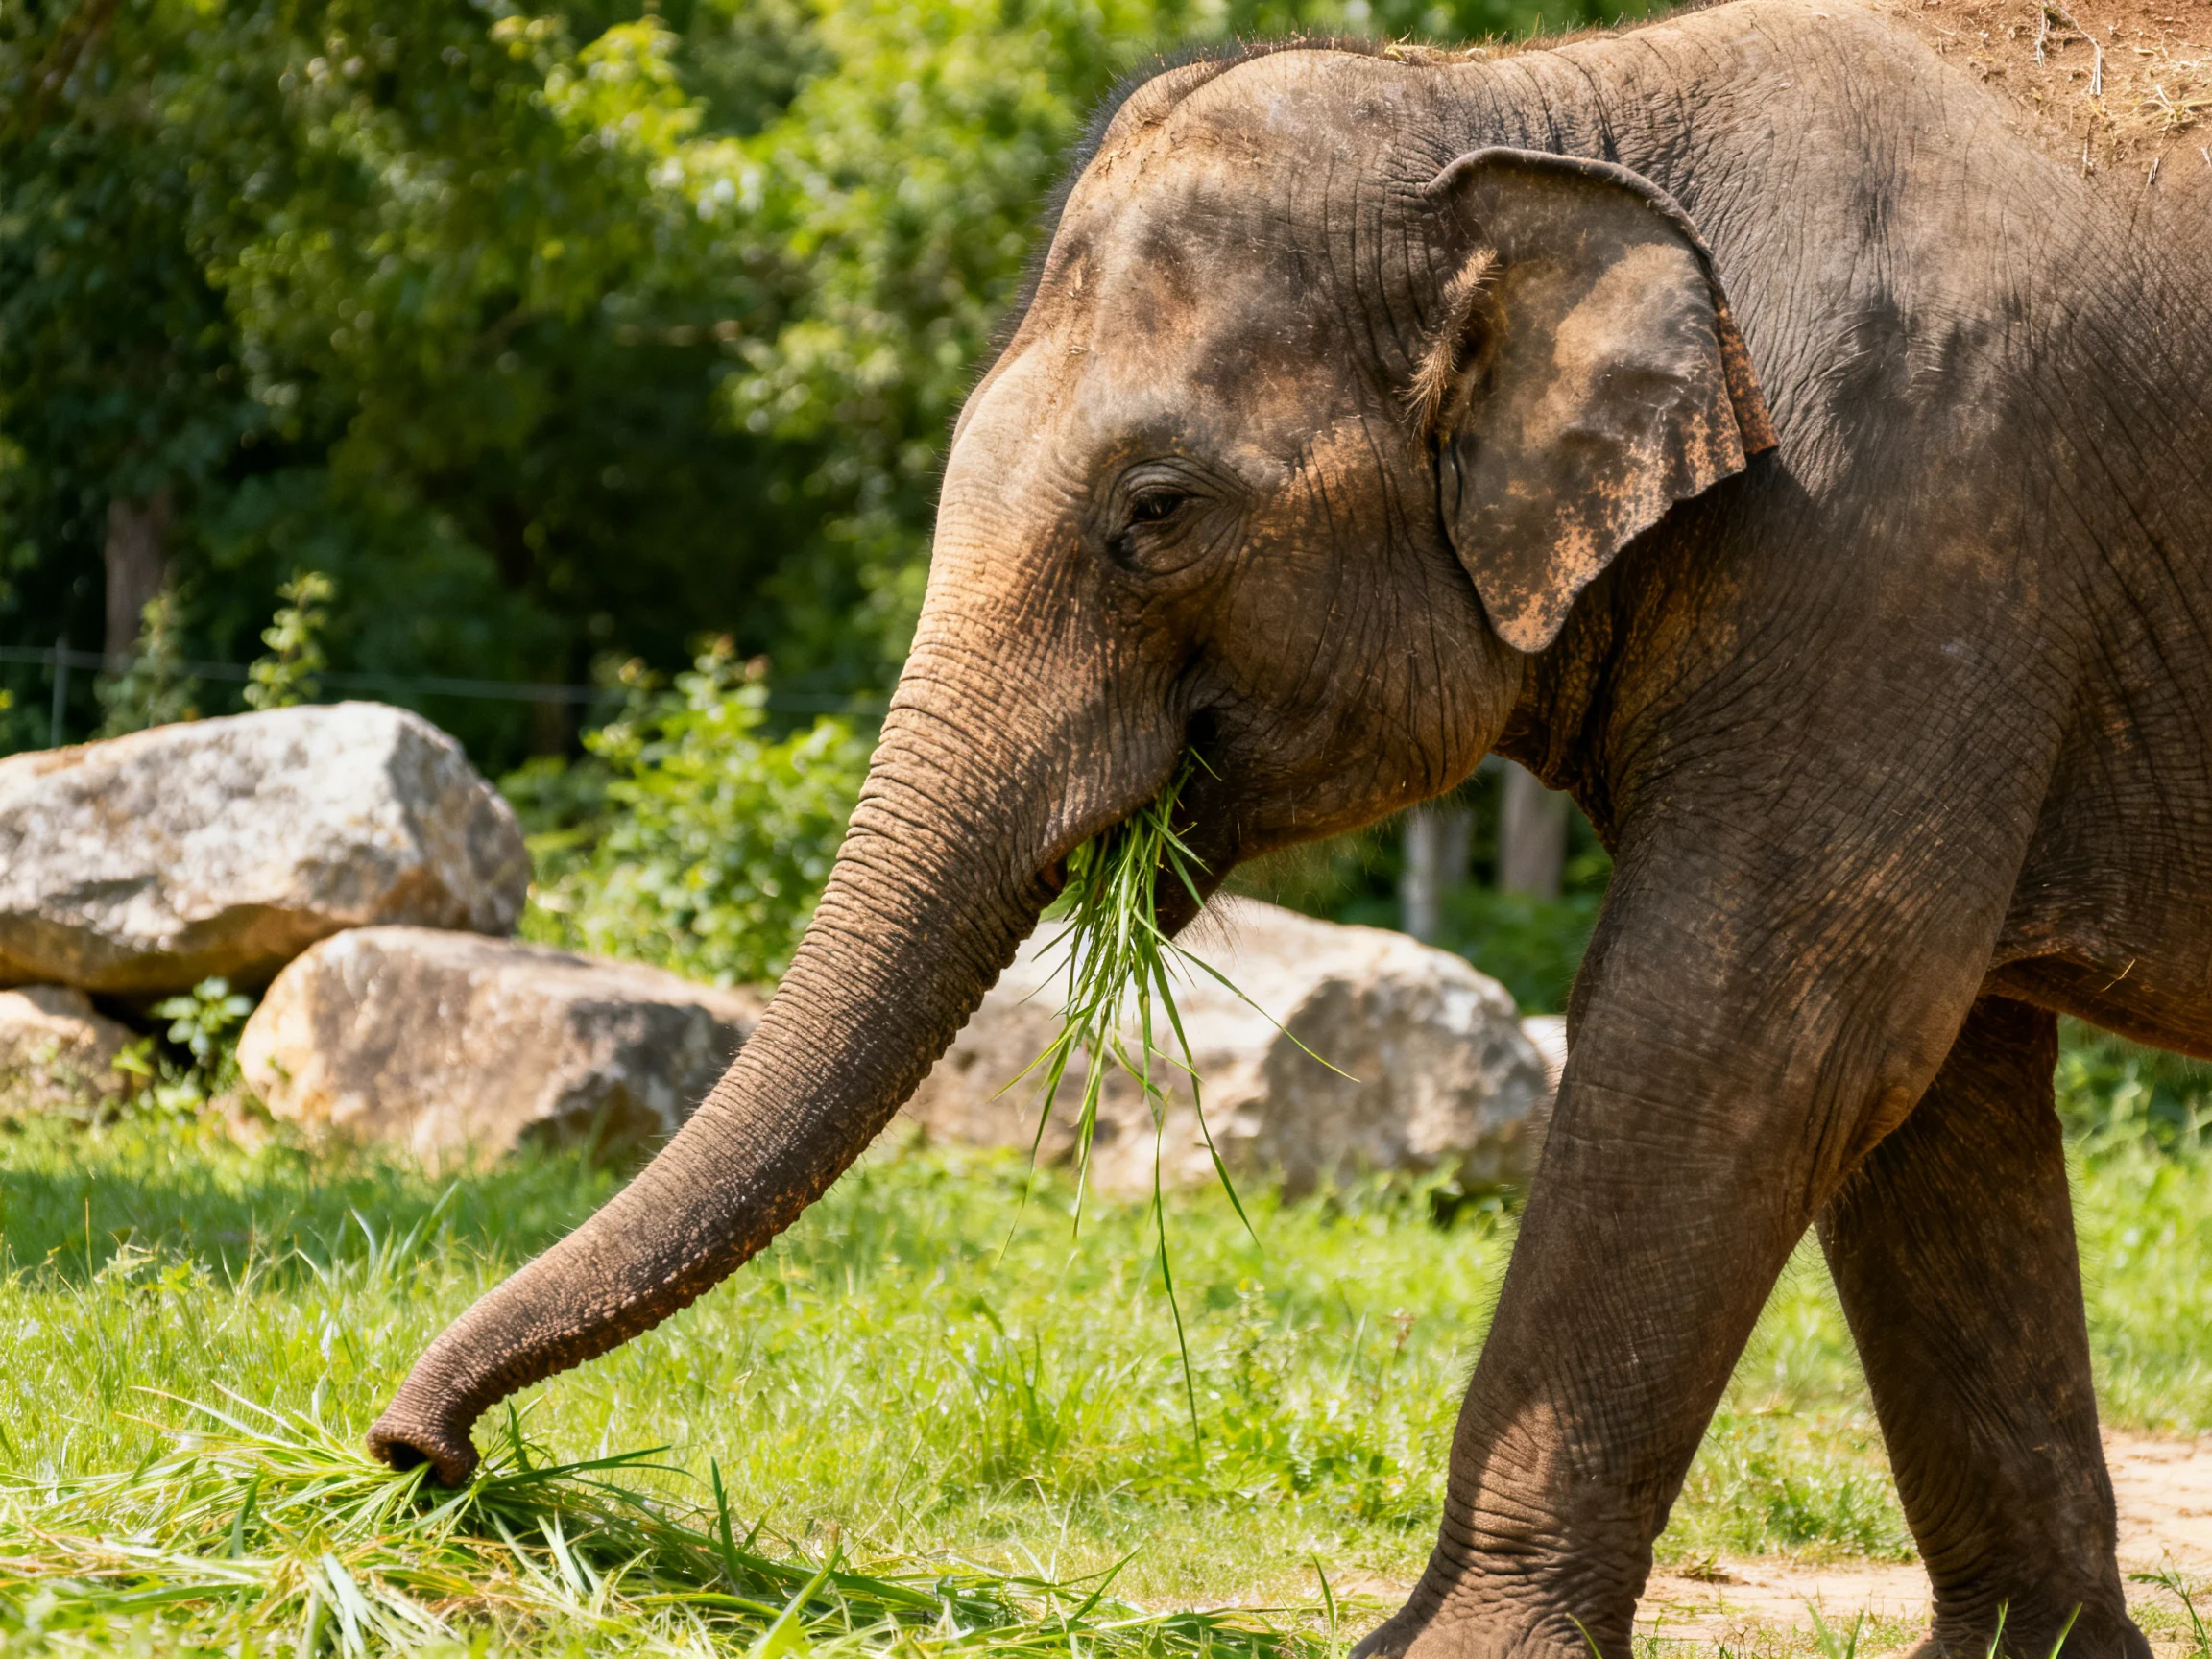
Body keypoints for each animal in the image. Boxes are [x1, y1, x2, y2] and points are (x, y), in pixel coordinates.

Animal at [368, 1, 2212, 1654]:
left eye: (1155, 511)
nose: (416, 1455)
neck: (1528, 102)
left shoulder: (1907, 532)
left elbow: (1765, 1025)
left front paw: (1437, 1658)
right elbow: (1936, 1093)